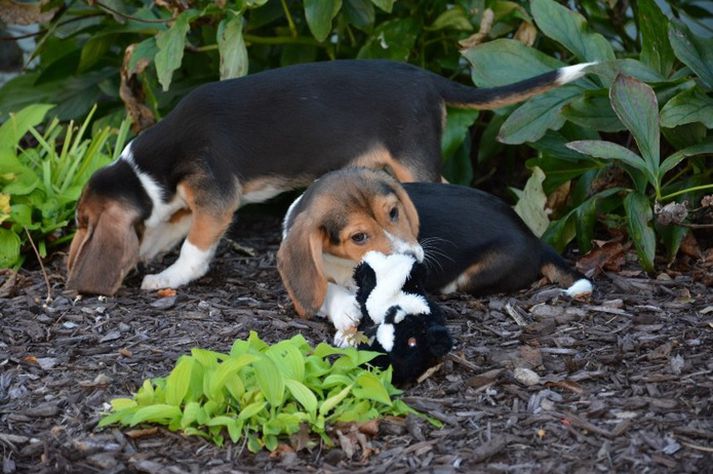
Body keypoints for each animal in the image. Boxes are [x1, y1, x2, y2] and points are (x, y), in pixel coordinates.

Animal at [67, 59, 592, 294]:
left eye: (80, 222)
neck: (150, 168)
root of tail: (426, 76)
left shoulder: (215, 198)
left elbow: (195, 246)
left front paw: (169, 276)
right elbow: (169, 226)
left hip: (412, 159)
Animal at [276, 167, 588, 334]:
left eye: (393, 212)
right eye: (359, 237)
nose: (414, 261)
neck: (342, 264)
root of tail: (533, 237)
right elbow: (324, 288)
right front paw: (342, 307)